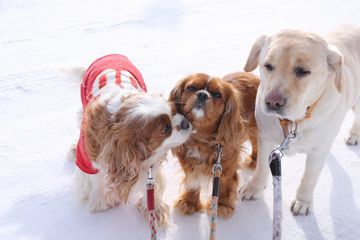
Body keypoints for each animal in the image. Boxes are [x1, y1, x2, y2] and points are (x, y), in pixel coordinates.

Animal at [71, 53, 193, 228]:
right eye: (165, 129)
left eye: (174, 111)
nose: (186, 123)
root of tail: (109, 54)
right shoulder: (87, 158)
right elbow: (95, 179)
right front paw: (100, 201)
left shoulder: (151, 159)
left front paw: (153, 209)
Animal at [169, 71, 258, 218]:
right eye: (191, 88)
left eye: (217, 94)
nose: (202, 94)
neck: (200, 137)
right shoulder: (188, 161)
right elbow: (193, 181)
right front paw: (189, 202)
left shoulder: (226, 164)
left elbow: (224, 184)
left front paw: (221, 205)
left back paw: (254, 160)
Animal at [239, 25, 360, 215]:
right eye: (268, 66)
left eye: (303, 71)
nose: (273, 101)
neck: (293, 123)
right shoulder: (265, 138)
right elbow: (261, 167)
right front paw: (254, 187)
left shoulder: (318, 152)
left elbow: (309, 178)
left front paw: (303, 201)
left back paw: (354, 135)